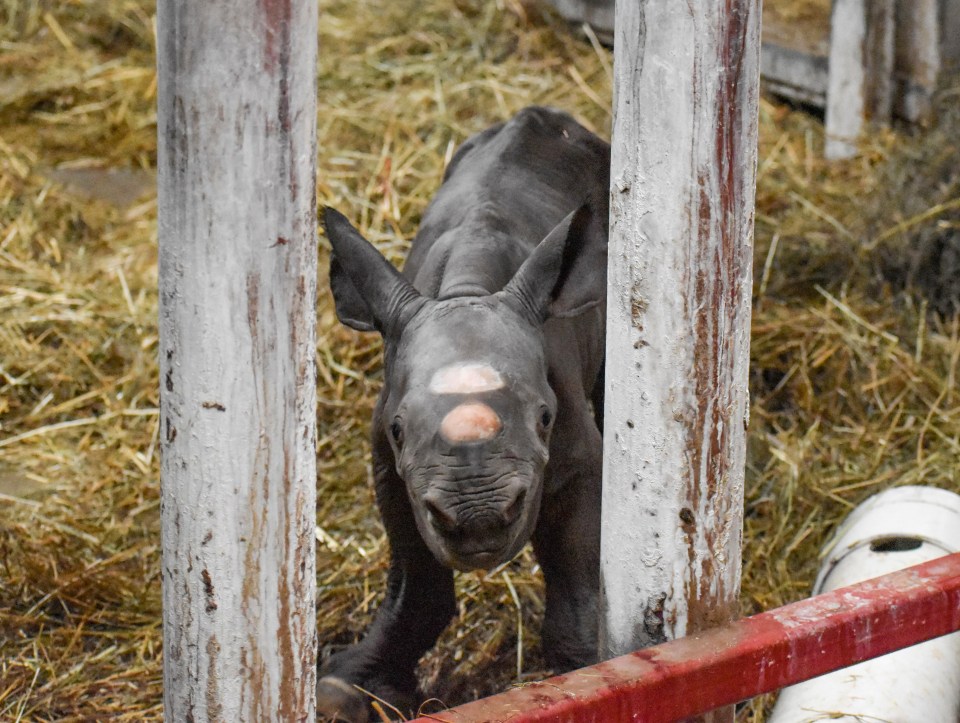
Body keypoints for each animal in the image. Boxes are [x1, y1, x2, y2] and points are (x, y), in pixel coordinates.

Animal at [320, 104, 608, 720]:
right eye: (399, 431)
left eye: (545, 418)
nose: (478, 517)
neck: (467, 290)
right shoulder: (391, 466)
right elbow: (416, 579)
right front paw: (349, 689)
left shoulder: (576, 455)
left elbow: (577, 581)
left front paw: (591, 675)